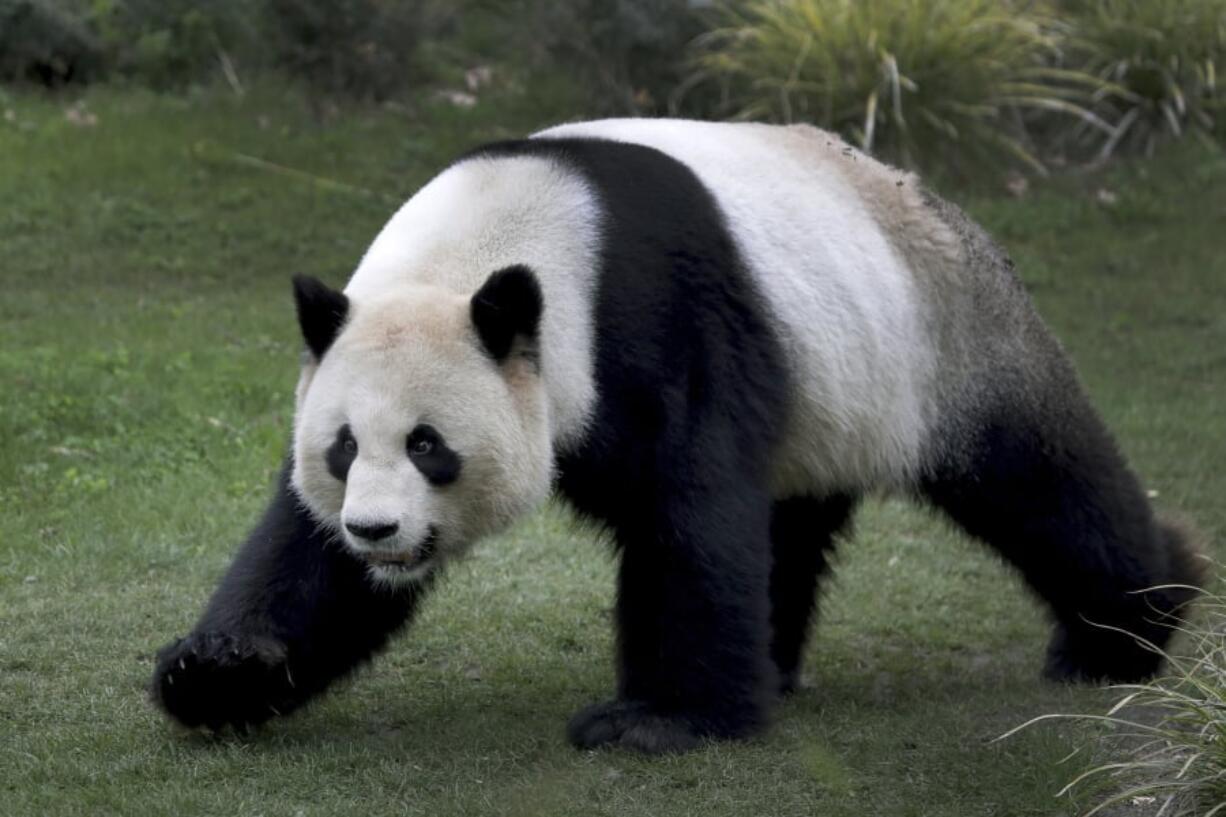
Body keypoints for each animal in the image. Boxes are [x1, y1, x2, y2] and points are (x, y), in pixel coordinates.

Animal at [148, 119, 1201, 750]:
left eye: (429, 446)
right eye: (341, 448)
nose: (375, 532)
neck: (502, 237)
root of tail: (940, 200)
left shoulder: (660, 319)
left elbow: (689, 510)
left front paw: (659, 720)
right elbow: (302, 555)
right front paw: (219, 673)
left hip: (942, 345)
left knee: (1040, 480)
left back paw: (1136, 622)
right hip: (826, 390)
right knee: (784, 525)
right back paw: (775, 665)